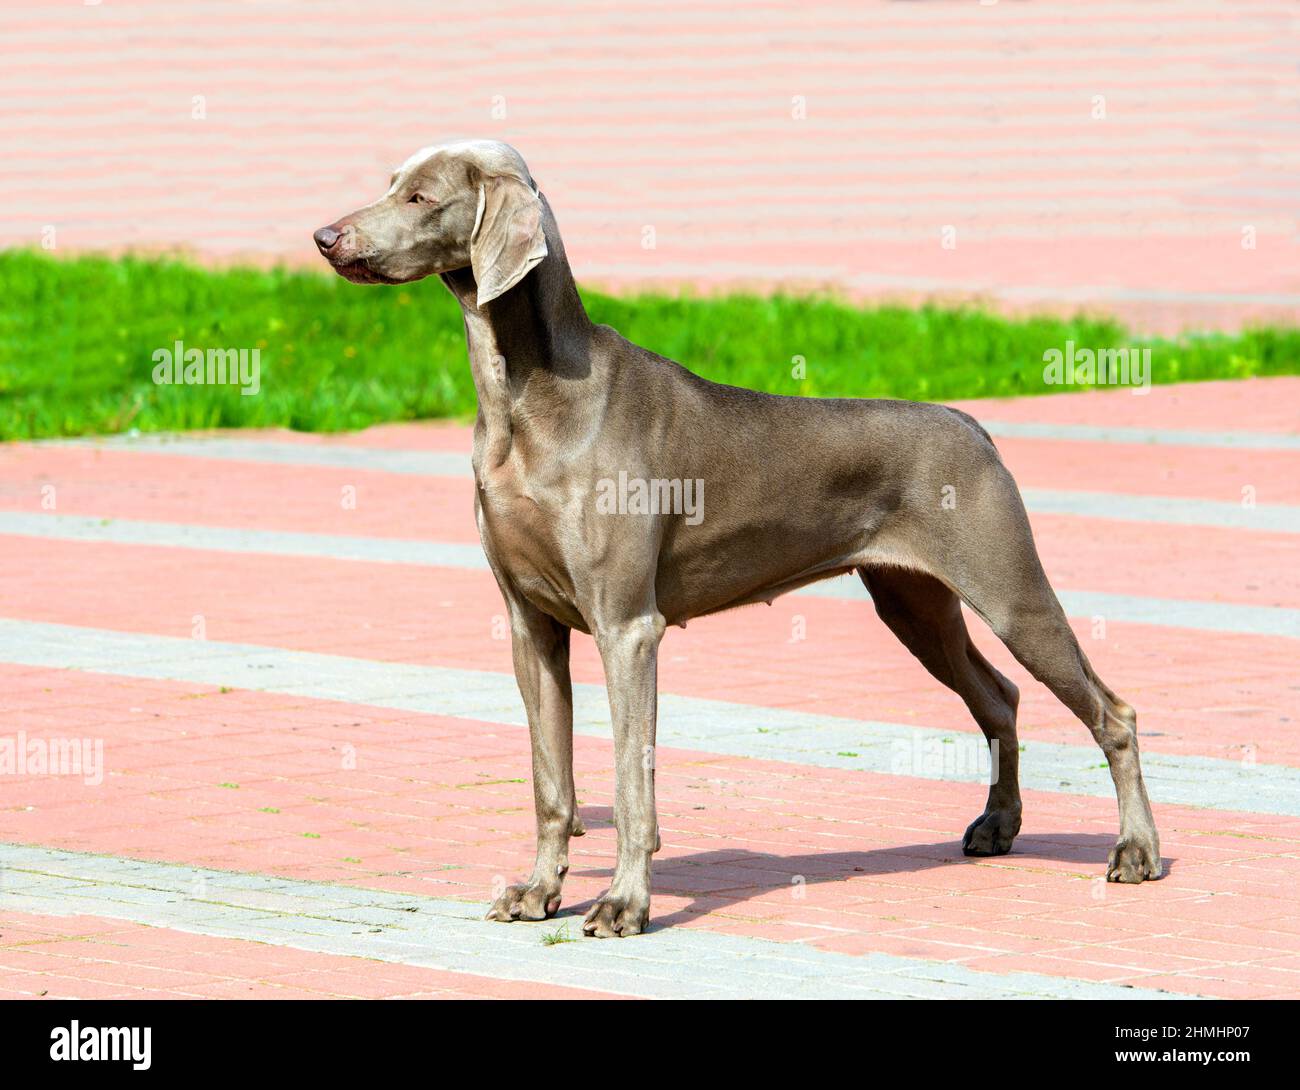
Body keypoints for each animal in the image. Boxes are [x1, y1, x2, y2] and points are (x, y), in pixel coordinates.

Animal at [317, 136, 1170, 936]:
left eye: (421, 196)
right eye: (390, 183)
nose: (325, 235)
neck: (524, 401)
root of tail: (972, 421)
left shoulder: (627, 628)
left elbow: (631, 779)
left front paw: (624, 904)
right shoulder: (531, 625)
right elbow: (550, 781)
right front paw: (538, 891)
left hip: (1009, 591)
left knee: (1112, 713)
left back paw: (1136, 851)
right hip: (914, 605)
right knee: (1000, 696)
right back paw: (998, 825)